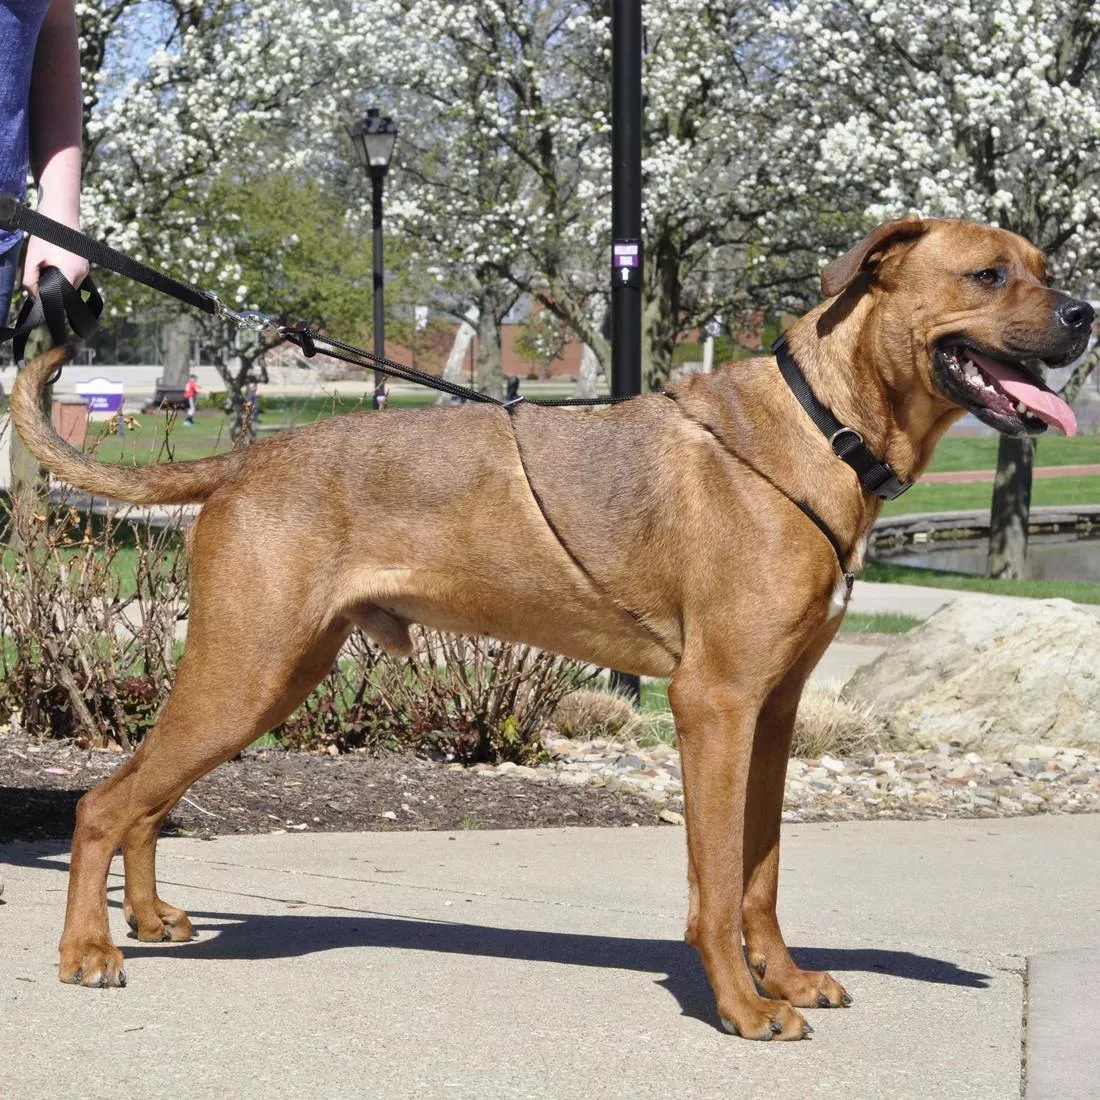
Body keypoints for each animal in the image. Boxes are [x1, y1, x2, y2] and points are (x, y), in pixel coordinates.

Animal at [11, 217, 1093, 1040]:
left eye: (1042, 265)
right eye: (989, 273)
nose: (1085, 312)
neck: (824, 425)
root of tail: (244, 458)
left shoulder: (775, 710)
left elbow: (760, 874)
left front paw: (782, 977)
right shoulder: (714, 704)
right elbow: (714, 882)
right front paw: (743, 1006)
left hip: (272, 675)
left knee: (145, 800)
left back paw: (149, 916)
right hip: (246, 669)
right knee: (104, 803)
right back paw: (88, 949)